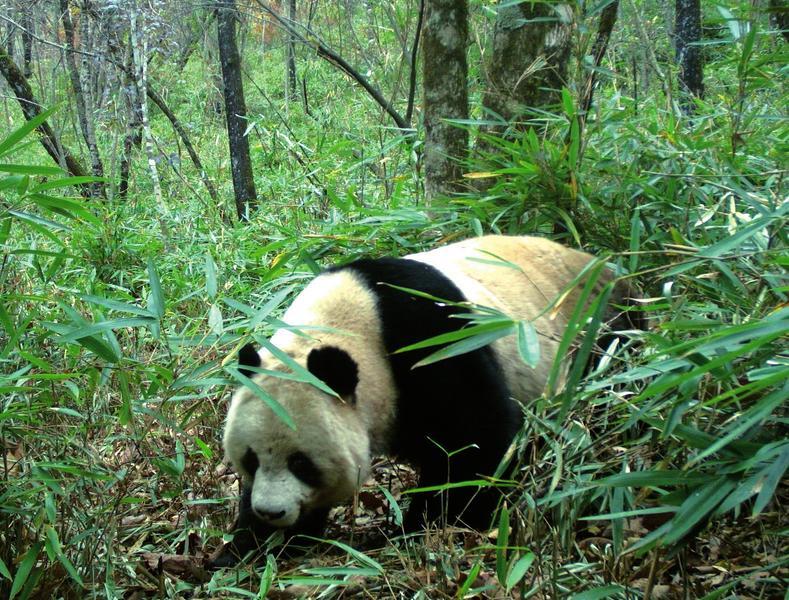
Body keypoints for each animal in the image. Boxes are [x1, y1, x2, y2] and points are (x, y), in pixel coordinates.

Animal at [209, 234, 640, 568]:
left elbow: (476, 438)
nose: (271, 512)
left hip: (600, 326)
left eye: (301, 462)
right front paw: (248, 546)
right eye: (250, 458)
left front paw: (421, 526)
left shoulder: (430, 336)